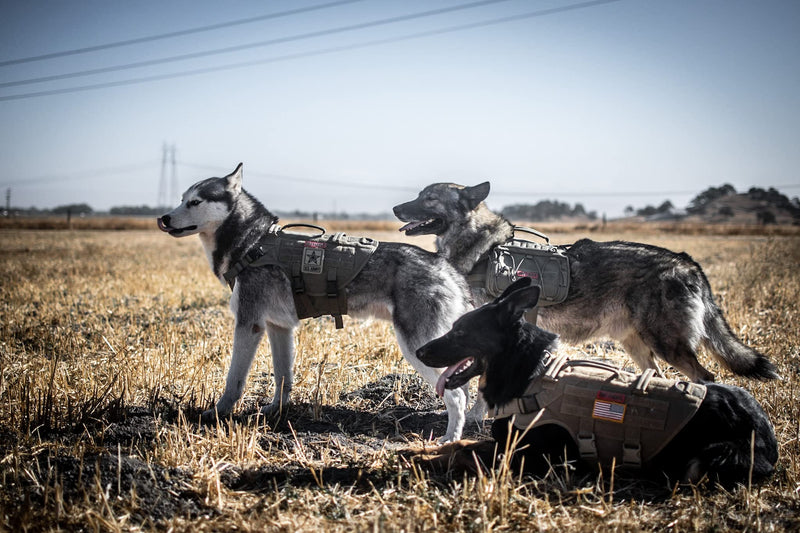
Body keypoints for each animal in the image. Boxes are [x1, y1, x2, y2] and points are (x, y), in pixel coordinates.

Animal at [159, 165, 478, 440]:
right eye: (181, 199)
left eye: (195, 201)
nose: (163, 219)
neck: (254, 244)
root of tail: (445, 266)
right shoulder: (279, 328)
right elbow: (283, 377)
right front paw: (276, 410)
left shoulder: (249, 325)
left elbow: (234, 380)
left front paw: (217, 413)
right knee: (463, 389)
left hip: (420, 348)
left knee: (456, 395)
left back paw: (450, 438)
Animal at [396, 183, 780, 382]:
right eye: (418, 194)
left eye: (429, 198)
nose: (397, 208)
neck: (484, 247)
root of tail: (688, 262)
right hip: (638, 346)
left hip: (669, 345)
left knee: (706, 379)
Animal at [416, 278, 780, 486]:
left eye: (460, 331)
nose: (419, 351)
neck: (532, 373)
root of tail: (763, 426)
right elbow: (459, 444)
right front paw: (420, 450)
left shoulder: (526, 458)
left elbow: (467, 452)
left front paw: (421, 460)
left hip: (712, 456)